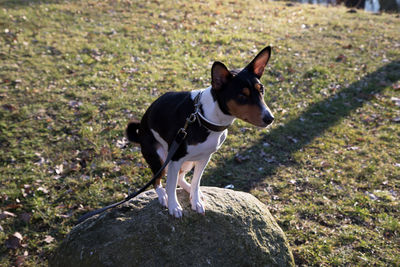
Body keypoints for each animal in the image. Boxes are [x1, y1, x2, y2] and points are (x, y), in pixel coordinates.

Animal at [126, 45, 274, 218]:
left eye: (261, 90)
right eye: (242, 96)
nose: (270, 118)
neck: (205, 118)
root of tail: (140, 131)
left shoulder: (204, 157)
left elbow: (196, 181)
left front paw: (195, 200)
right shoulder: (176, 157)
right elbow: (170, 185)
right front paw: (174, 206)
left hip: (187, 162)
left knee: (179, 177)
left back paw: (188, 190)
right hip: (160, 157)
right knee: (158, 180)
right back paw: (163, 196)